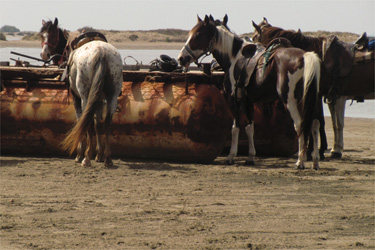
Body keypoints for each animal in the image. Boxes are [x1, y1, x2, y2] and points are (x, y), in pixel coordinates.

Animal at [39, 18, 122, 168]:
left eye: (53, 35)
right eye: (42, 35)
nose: (44, 54)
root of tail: (101, 52)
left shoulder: (76, 97)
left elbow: (81, 121)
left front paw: (80, 154)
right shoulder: (99, 99)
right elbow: (98, 124)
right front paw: (99, 155)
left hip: (84, 96)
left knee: (86, 121)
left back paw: (86, 159)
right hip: (112, 96)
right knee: (107, 123)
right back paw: (107, 159)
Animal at [179, 15, 324, 170]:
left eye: (198, 35)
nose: (181, 58)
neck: (234, 57)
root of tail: (305, 56)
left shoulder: (234, 99)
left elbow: (235, 127)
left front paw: (231, 156)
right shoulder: (249, 100)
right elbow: (250, 128)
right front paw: (250, 157)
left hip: (291, 101)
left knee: (300, 125)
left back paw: (300, 161)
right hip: (313, 101)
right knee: (315, 125)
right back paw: (315, 161)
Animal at [253, 17, 375, 158]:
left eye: (254, 38)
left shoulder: (334, 96)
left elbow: (332, 122)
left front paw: (323, 150)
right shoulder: (330, 96)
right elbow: (330, 122)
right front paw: (329, 149)